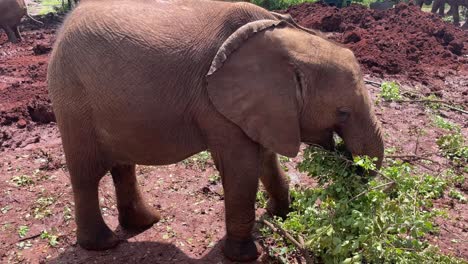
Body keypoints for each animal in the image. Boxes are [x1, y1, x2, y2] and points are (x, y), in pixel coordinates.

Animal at [46, 0, 384, 260]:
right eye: (343, 112)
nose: (347, 161)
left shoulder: (263, 108)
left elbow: (266, 158)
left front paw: (284, 215)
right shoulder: (216, 105)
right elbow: (241, 169)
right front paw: (245, 256)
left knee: (122, 167)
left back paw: (145, 222)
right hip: (73, 101)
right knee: (87, 175)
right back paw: (104, 244)